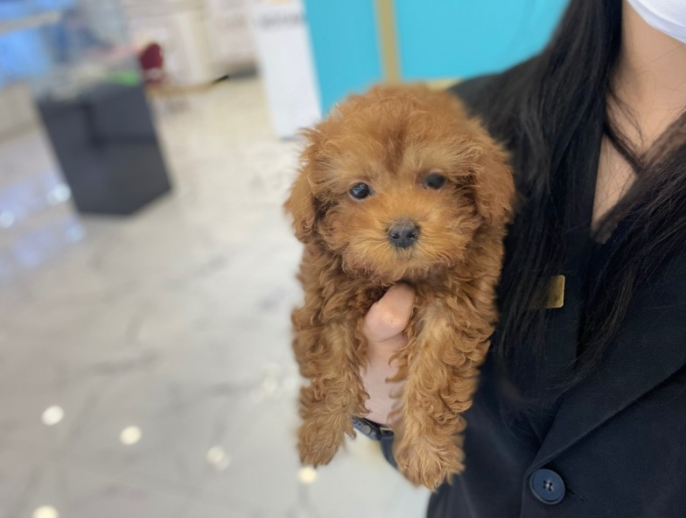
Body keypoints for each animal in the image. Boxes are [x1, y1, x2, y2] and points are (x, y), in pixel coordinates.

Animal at [285, 84, 514, 490]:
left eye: (435, 181)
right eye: (360, 190)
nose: (403, 230)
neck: (394, 277)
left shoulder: (451, 313)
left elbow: (431, 380)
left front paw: (426, 453)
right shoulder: (329, 300)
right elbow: (331, 364)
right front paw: (321, 433)